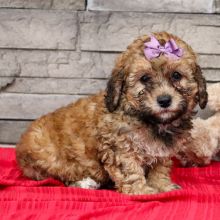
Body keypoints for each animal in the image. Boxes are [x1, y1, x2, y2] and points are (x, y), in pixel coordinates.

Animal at [16, 32, 207, 194]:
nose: (165, 100)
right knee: (59, 175)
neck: (150, 120)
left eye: (176, 76)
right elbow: (131, 170)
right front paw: (141, 191)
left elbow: (159, 168)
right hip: (49, 158)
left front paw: (163, 186)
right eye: (144, 78)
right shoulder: (120, 148)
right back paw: (85, 183)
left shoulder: (162, 151)